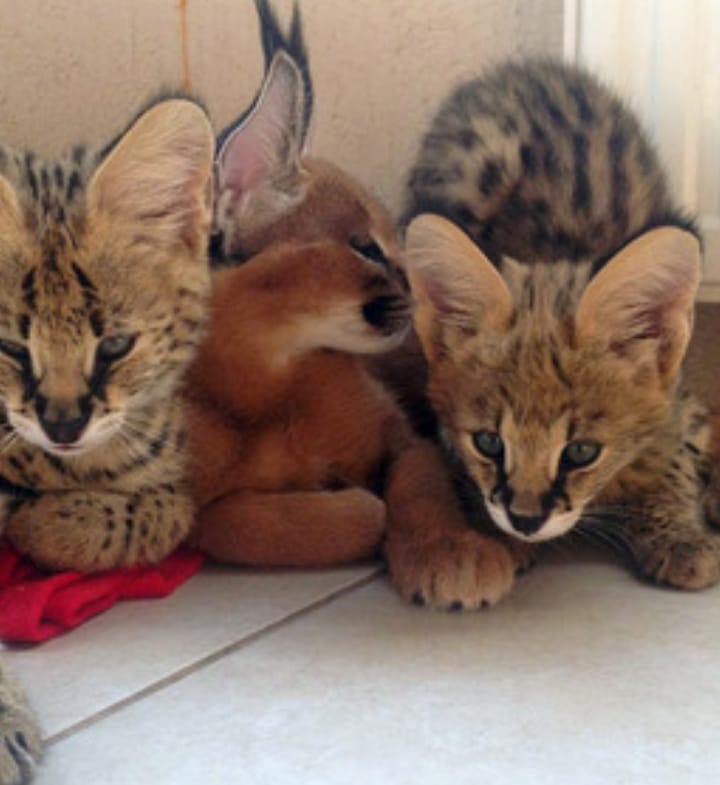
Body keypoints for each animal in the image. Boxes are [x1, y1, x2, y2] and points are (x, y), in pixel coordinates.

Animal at [388, 58, 720, 608]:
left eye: (581, 451)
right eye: (489, 443)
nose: (524, 520)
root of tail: (521, 67)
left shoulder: (678, 400)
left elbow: (674, 456)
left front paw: (678, 531)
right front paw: (492, 535)